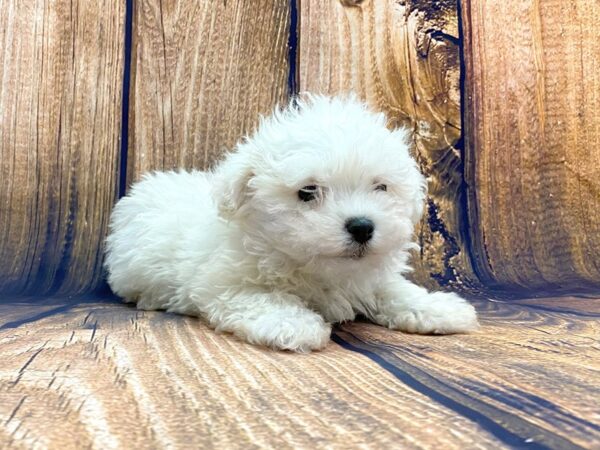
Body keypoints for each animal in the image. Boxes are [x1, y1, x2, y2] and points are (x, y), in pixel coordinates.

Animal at [103, 95, 478, 352]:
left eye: (380, 187)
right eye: (307, 191)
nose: (362, 226)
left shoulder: (371, 279)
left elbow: (396, 291)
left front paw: (438, 308)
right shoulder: (223, 283)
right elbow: (261, 299)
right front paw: (292, 323)